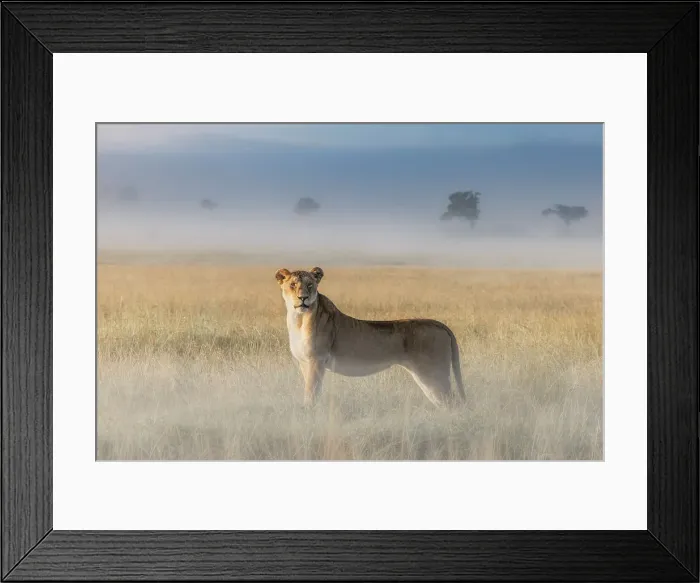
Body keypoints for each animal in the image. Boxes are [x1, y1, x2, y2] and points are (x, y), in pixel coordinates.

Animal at [275, 266, 465, 408]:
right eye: (293, 284)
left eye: (310, 285)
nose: (303, 298)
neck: (298, 319)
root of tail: (440, 324)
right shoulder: (304, 362)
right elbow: (310, 389)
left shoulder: (317, 360)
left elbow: (311, 393)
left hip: (433, 374)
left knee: (453, 403)